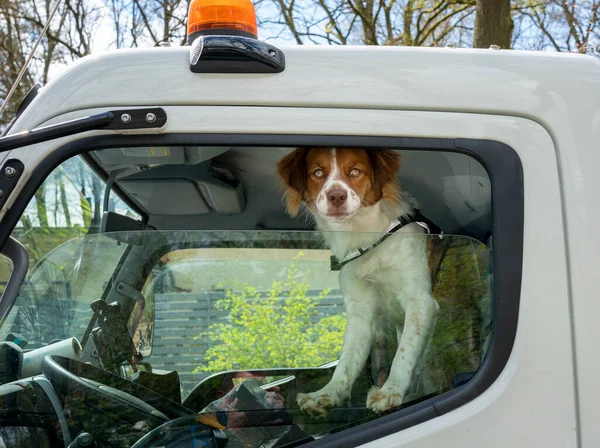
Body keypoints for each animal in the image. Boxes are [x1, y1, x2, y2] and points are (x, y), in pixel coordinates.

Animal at [278, 148, 440, 416]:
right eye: (318, 173)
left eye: (355, 171)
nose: (336, 196)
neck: (366, 237)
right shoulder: (360, 311)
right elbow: (346, 361)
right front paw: (326, 394)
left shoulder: (420, 302)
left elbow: (404, 352)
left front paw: (390, 391)